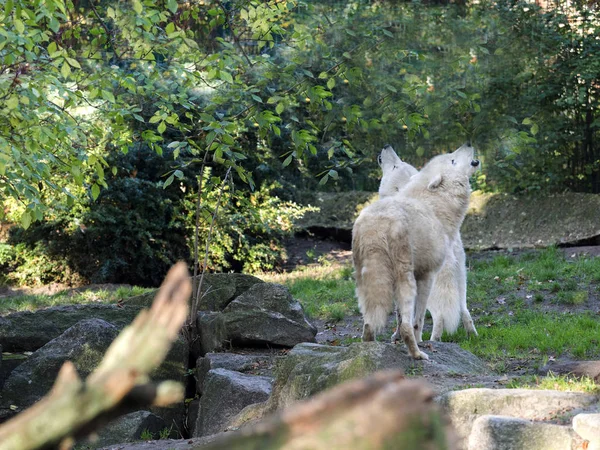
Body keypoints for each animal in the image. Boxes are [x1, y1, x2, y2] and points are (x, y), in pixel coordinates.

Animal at [352, 144, 478, 358]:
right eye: (452, 160)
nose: (468, 144)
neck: (436, 204)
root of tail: (377, 226)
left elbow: (406, 318)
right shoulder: (427, 275)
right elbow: (416, 321)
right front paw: (419, 341)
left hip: (367, 282)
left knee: (370, 324)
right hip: (408, 279)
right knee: (418, 323)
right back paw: (419, 354)